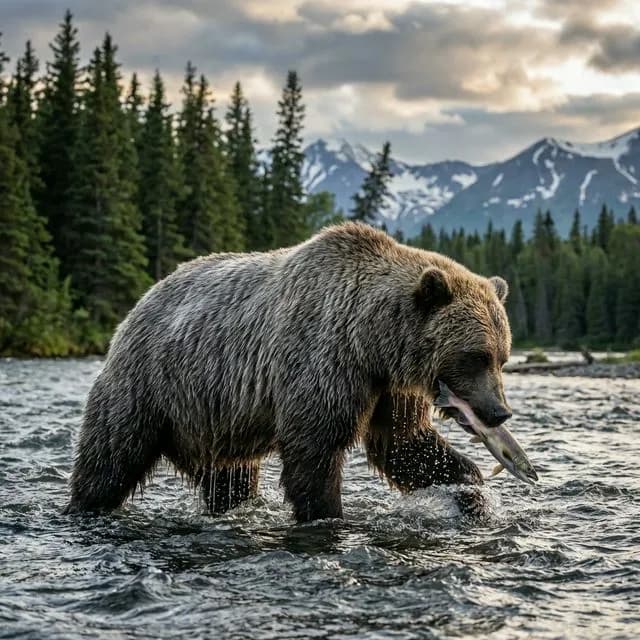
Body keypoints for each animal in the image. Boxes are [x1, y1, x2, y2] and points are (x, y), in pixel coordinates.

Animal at [65, 222, 512, 522]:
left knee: (229, 480)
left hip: (210, 420)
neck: (372, 342)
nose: (498, 412)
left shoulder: (389, 388)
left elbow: (405, 444)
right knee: (111, 455)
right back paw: (84, 505)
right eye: (476, 356)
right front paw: (326, 513)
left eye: (502, 357)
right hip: (150, 386)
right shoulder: (323, 361)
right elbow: (314, 450)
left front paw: (470, 489)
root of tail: (141, 301)